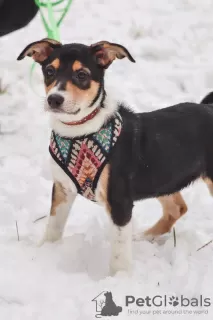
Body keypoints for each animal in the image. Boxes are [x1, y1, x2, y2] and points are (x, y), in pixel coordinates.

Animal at [17, 39, 213, 276]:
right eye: (49, 71)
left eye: (81, 75)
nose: (54, 99)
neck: (79, 131)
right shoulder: (62, 189)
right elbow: (53, 226)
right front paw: (43, 252)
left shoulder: (119, 200)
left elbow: (119, 252)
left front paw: (119, 278)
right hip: (163, 178)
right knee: (177, 208)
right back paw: (143, 237)